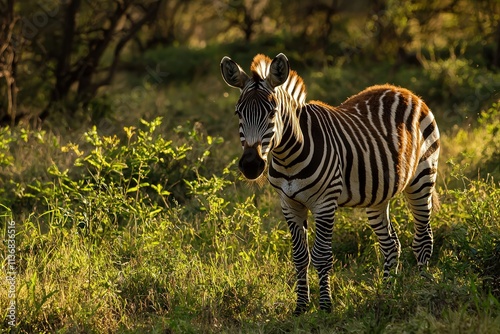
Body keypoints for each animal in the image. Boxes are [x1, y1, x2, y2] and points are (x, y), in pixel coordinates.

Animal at [221, 53, 440, 314]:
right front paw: (301, 307)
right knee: (390, 244)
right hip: (377, 194)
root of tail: (404, 91)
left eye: (272, 112)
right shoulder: (289, 204)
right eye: (238, 113)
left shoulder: (325, 203)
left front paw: (325, 306)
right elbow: (300, 257)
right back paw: (389, 293)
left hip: (422, 177)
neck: (288, 157)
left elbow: (322, 256)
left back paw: (421, 288)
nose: (251, 165)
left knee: (423, 238)